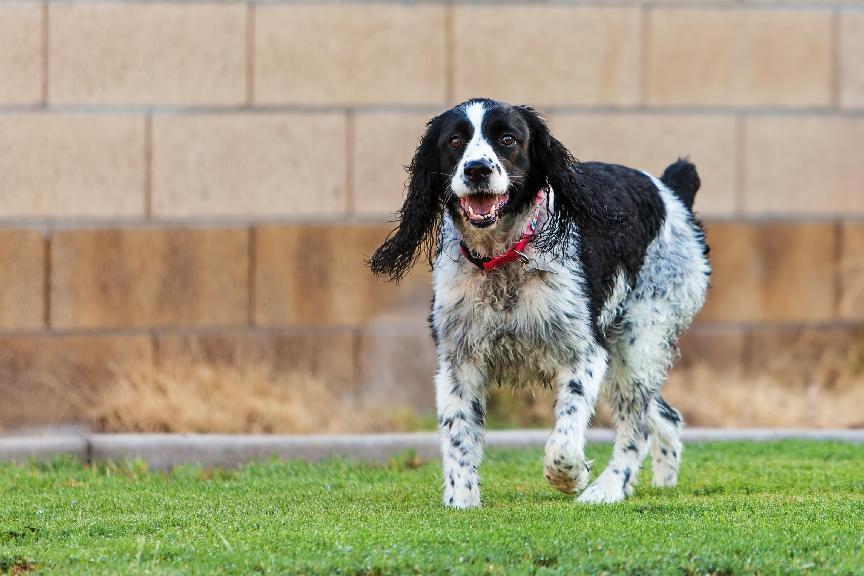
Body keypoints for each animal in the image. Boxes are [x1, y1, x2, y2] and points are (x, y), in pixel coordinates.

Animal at [368, 99, 712, 508]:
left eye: (507, 139)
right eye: (454, 141)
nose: (477, 168)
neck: (502, 259)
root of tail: (671, 191)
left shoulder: (585, 352)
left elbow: (564, 441)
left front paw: (571, 477)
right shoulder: (458, 359)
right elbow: (458, 437)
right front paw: (461, 502)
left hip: (638, 341)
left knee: (637, 426)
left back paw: (607, 489)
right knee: (667, 416)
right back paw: (660, 482)